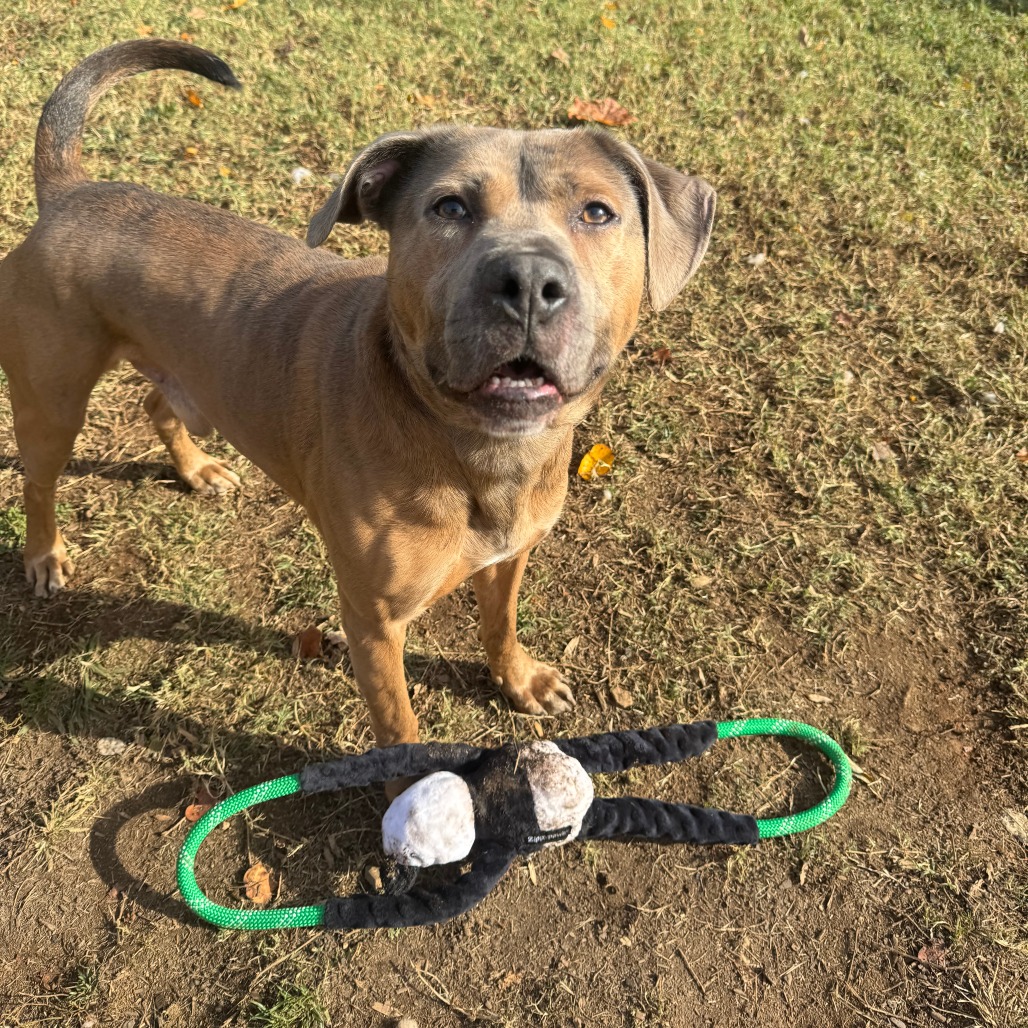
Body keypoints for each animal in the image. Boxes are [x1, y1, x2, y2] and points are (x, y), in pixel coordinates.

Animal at [0, 40, 715, 753]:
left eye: (597, 212)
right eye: (449, 207)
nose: (528, 280)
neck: (476, 453)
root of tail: (72, 192)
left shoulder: (510, 556)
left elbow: (501, 623)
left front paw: (518, 679)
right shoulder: (372, 621)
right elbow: (398, 721)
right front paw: (411, 773)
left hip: (183, 374)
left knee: (158, 405)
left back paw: (196, 469)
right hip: (52, 402)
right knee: (38, 480)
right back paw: (44, 556)